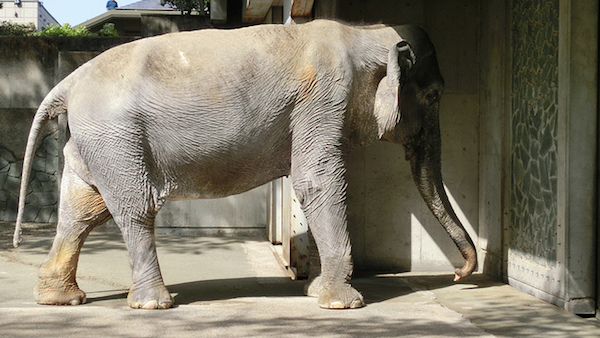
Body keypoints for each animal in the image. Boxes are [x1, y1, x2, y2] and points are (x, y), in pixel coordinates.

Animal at [11, 19, 476, 310]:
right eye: (434, 95)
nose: (460, 275)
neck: (366, 33)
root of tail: (68, 83)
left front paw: (316, 293)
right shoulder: (324, 95)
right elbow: (317, 182)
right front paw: (342, 304)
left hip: (93, 141)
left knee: (80, 210)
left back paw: (61, 300)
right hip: (116, 137)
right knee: (133, 209)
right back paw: (153, 304)